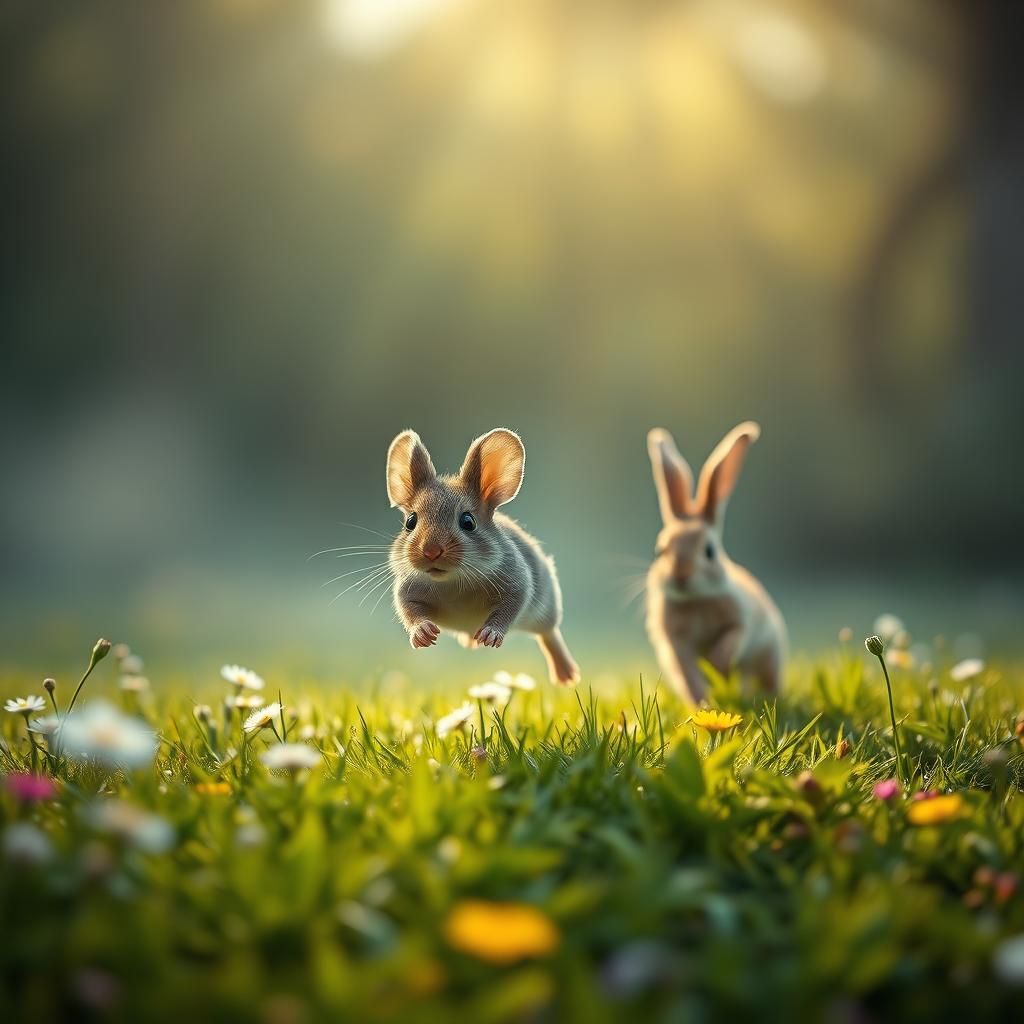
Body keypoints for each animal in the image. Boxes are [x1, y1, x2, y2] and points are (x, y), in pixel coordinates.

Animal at [385, 427, 580, 685]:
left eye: (468, 521)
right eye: (411, 521)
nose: (431, 551)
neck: (454, 581)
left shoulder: (516, 584)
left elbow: (510, 607)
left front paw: (490, 634)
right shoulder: (409, 588)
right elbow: (408, 609)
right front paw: (423, 633)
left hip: (546, 611)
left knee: (549, 635)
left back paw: (566, 674)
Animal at [645, 421, 786, 703]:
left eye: (709, 551)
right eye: (660, 550)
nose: (680, 575)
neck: (695, 600)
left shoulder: (741, 622)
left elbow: (732, 639)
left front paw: (716, 666)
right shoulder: (677, 643)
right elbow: (688, 672)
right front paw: (702, 701)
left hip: (770, 655)